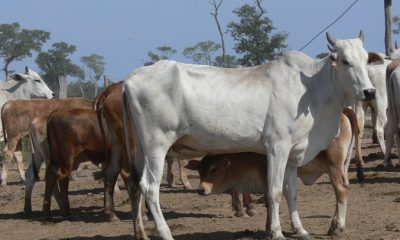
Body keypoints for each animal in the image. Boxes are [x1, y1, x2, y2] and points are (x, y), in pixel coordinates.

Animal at [186, 109, 358, 237]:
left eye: (213, 169)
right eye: (200, 170)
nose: (201, 189)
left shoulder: (266, 171)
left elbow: (270, 200)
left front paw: (269, 229)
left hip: (334, 166)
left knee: (341, 190)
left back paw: (337, 227)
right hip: (342, 165)